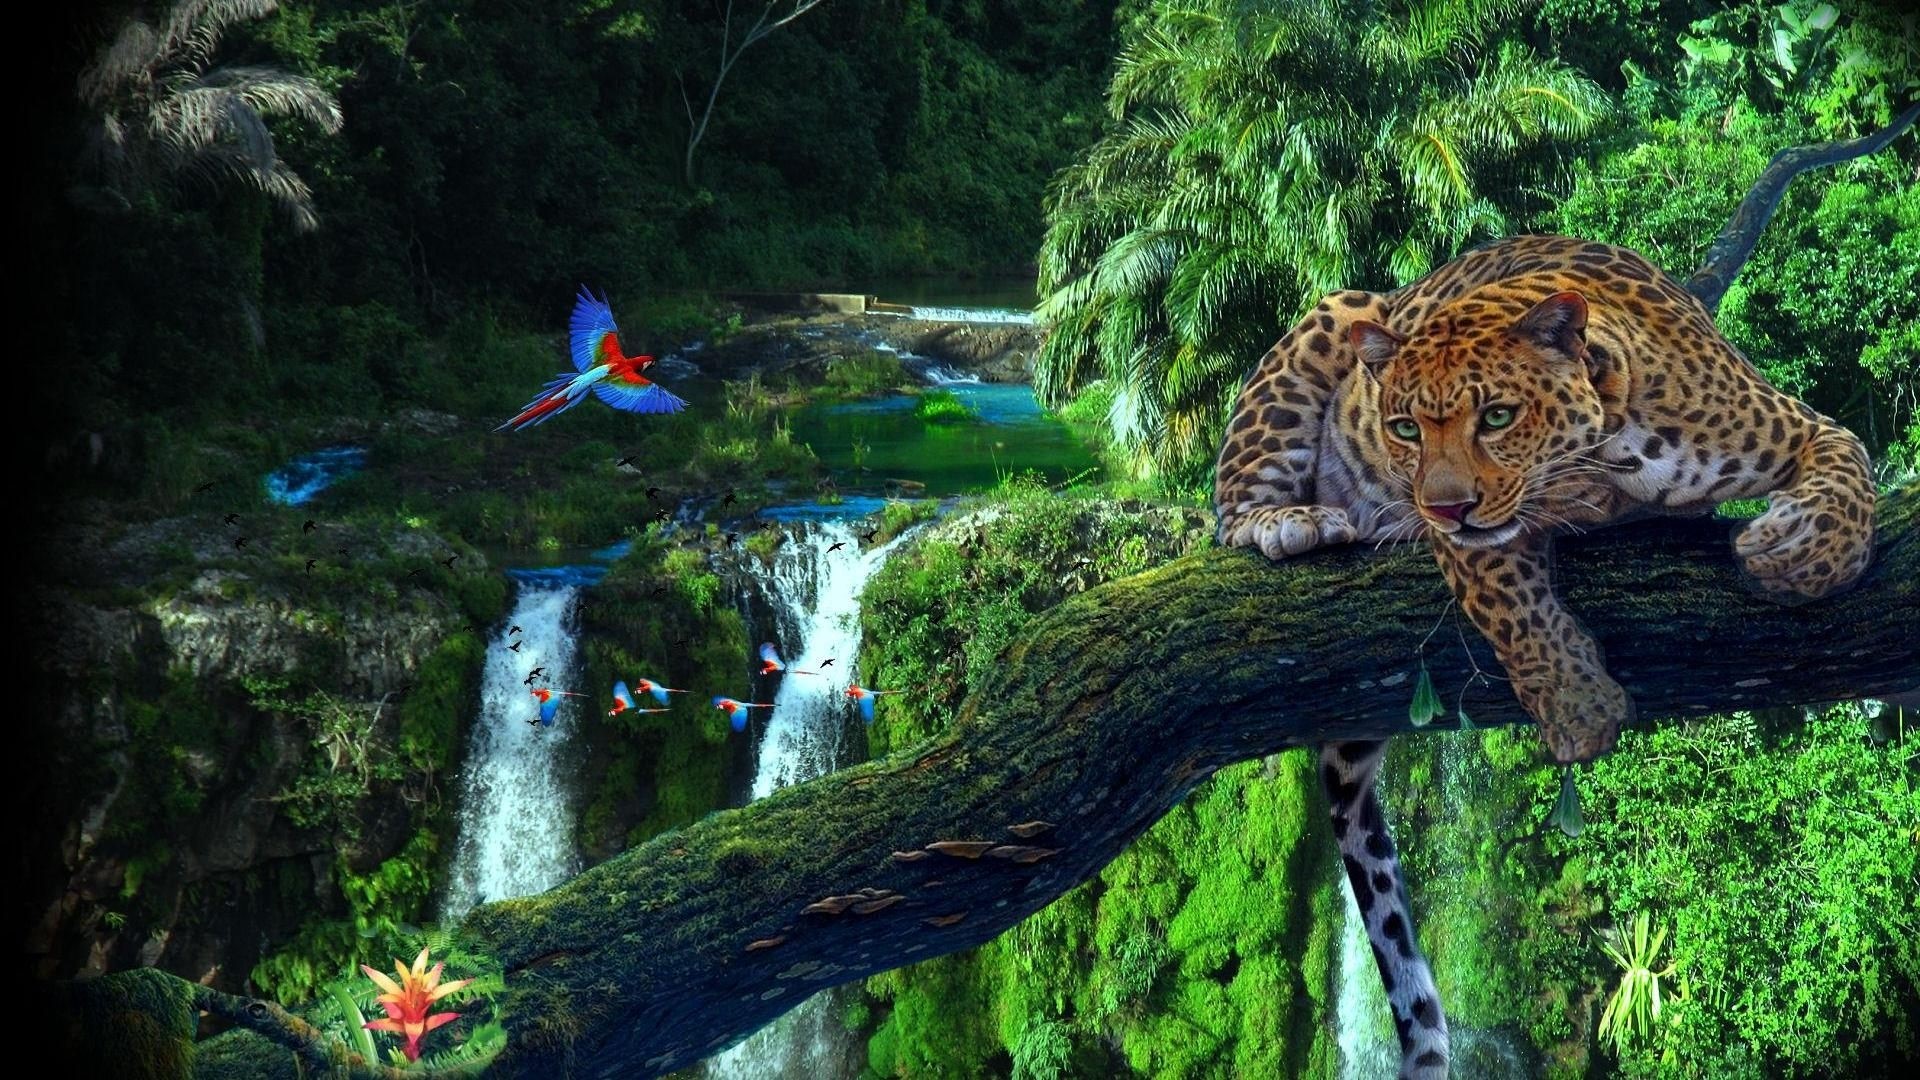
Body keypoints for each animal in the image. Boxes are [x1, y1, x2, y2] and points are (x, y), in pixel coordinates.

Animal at [1214, 234, 1878, 1078]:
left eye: (1497, 416)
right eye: (1402, 429)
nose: (1440, 507)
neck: (1614, 449)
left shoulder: (1796, 425)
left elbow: (1848, 469)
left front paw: (1796, 553)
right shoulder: (1475, 543)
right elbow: (1510, 601)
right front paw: (1576, 704)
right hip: (1335, 314)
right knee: (1231, 512)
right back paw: (1290, 521)